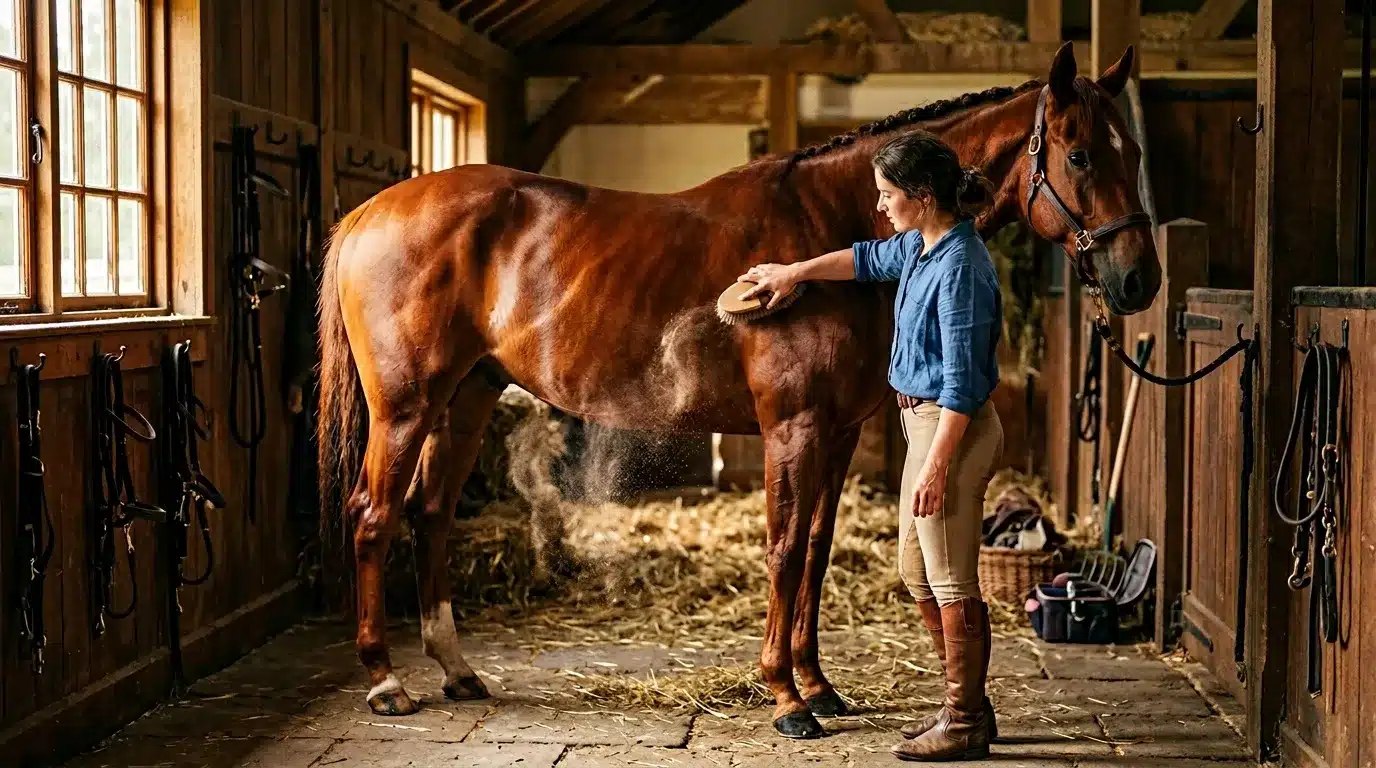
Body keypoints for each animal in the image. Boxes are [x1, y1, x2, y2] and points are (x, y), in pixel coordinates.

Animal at [317, 41, 1160, 739]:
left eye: (1133, 150)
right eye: (1080, 154)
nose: (1140, 281)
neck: (829, 223)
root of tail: (367, 213)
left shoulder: (837, 433)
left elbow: (816, 551)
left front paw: (818, 686)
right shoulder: (795, 427)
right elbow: (784, 551)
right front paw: (785, 699)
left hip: (466, 399)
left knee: (429, 515)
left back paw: (456, 669)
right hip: (406, 408)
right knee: (373, 516)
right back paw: (385, 680)